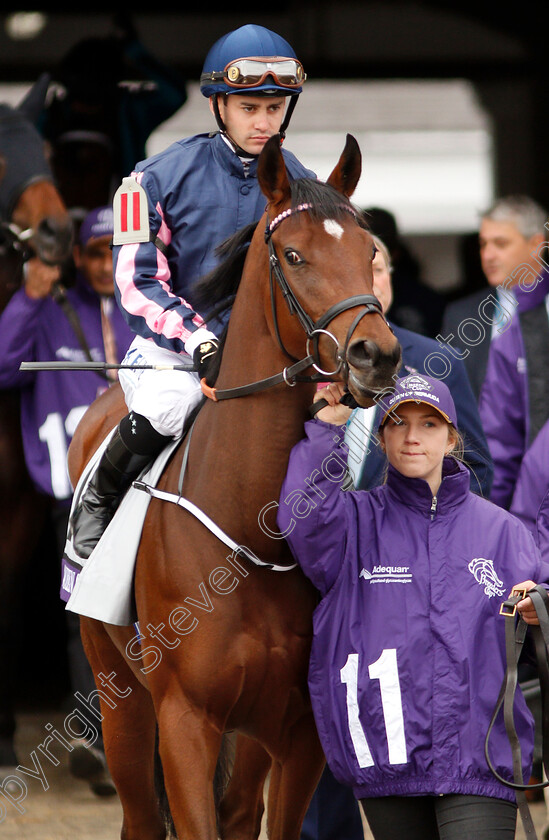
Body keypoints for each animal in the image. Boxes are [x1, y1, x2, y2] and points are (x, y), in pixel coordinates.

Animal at [69, 135, 398, 836]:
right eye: (294, 255)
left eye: (368, 251)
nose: (376, 355)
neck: (253, 533)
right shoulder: (185, 719)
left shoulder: (298, 731)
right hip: (121, 696)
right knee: (141, 817)